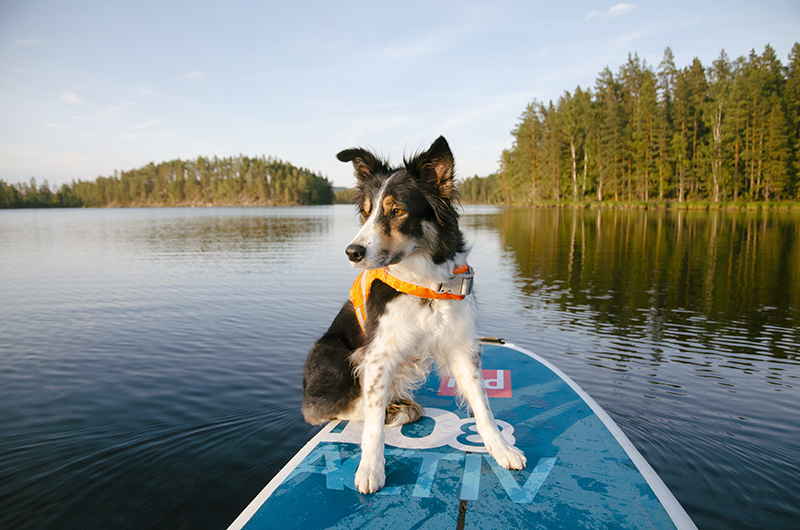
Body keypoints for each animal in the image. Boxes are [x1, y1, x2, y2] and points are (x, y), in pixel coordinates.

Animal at [300, 135, 524, 490]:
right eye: (366, 214)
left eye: (397, 211)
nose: (352, 252)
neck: (425, 286)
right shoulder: (377, 355)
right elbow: (373, 422)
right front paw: (371, 469)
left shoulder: (461, 346)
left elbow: (482, 404)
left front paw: (501, 449)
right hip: (330, 351)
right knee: (324, 410)